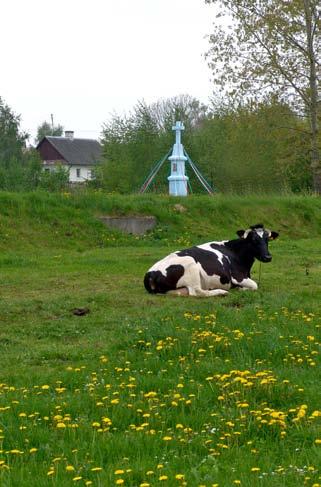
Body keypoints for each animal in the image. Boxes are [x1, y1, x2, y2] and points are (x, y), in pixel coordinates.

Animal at [143, 225, 278, 298]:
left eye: (267, 239)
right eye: (253, 240)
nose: (268, 257)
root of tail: (150, 273)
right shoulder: (238, 277)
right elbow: (255, 285)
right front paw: (240, 289)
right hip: (190, 263)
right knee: (197, 292)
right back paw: (221, 292)